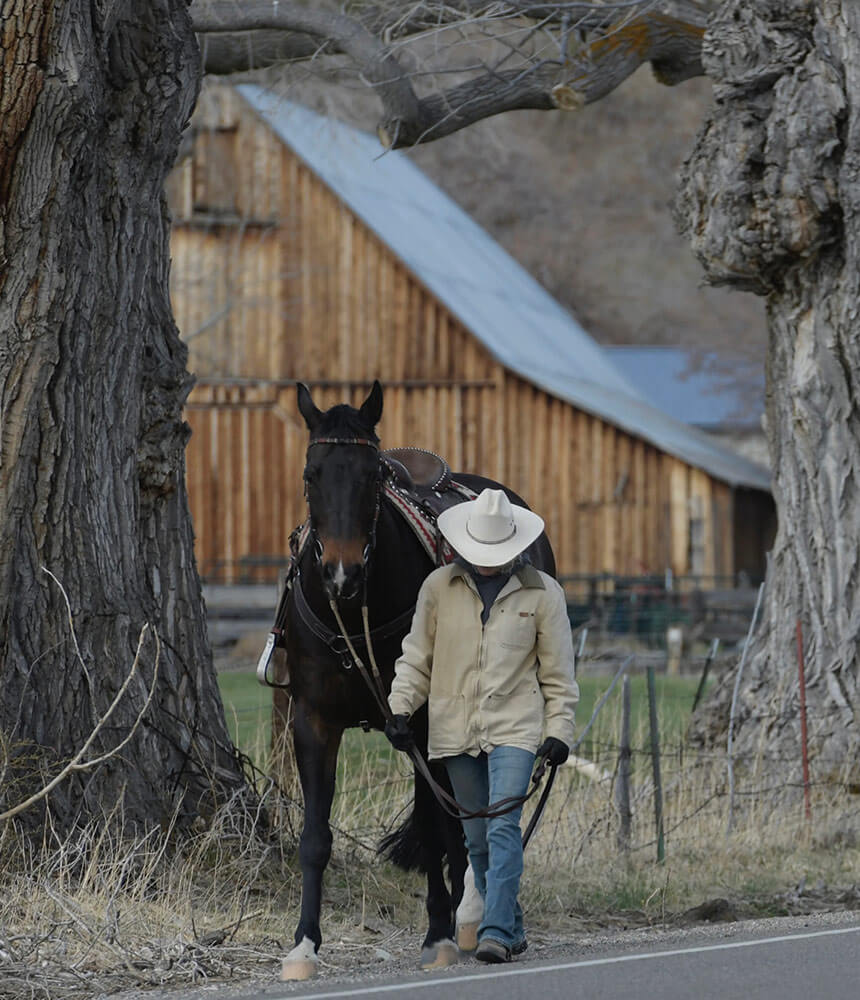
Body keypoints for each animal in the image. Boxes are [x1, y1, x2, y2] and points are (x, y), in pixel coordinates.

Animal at [275, 380, 556, 980]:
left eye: (372, 475)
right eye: (311, 474)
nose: (341, 572)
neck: (354, 611)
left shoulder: (425, 724)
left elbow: (435, 829)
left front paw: (438, 935)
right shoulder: (313, 722)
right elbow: (315, 836)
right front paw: (304, 945)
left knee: (475, 813)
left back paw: (471, 916)